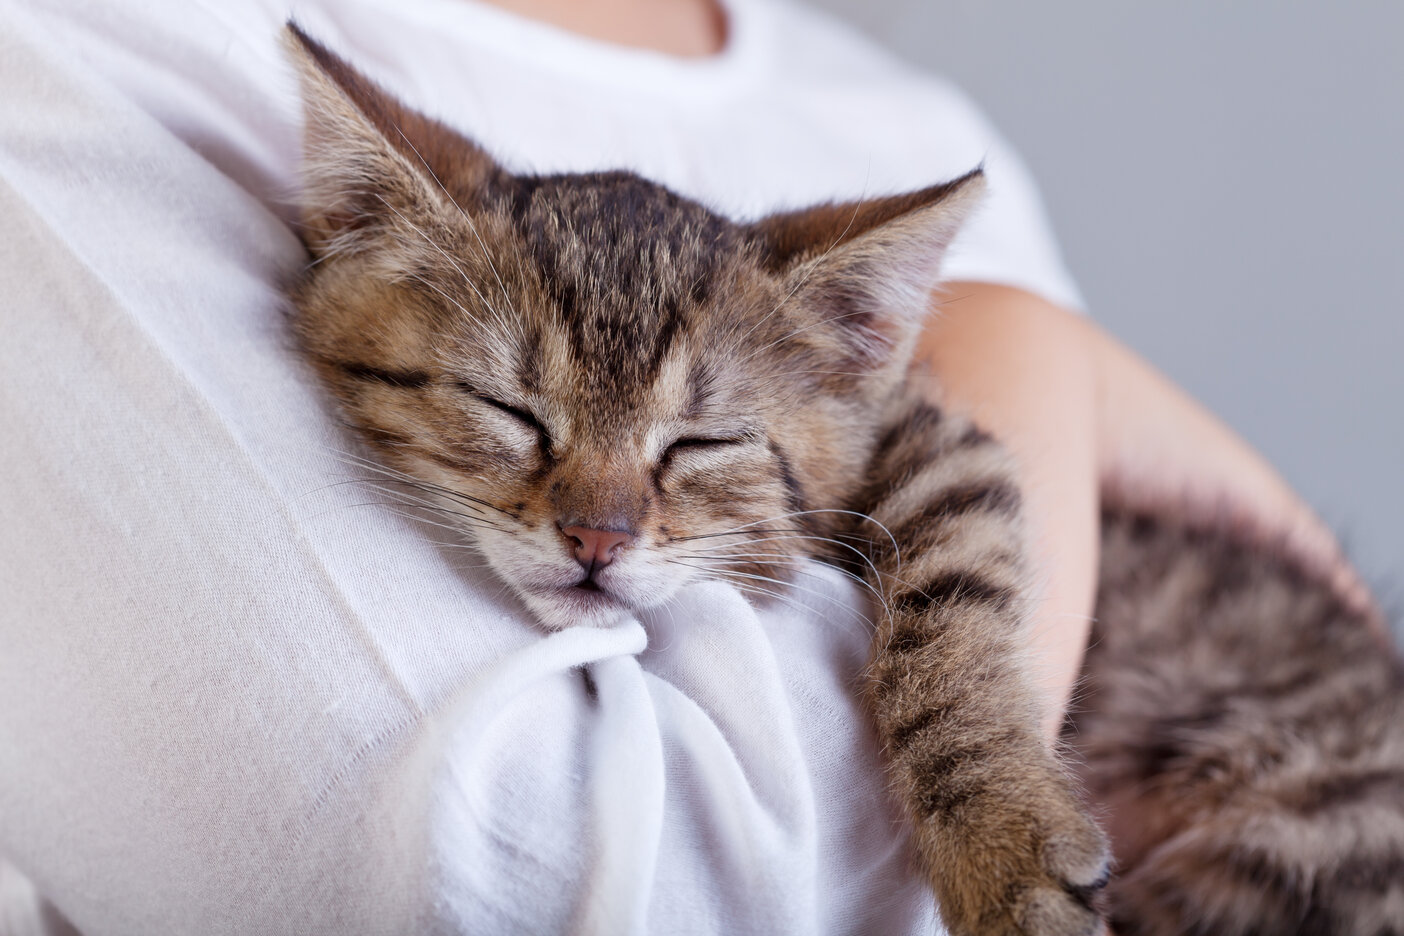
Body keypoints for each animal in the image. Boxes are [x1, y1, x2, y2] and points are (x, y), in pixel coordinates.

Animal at [285, 25, 1404, 931]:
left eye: (698, 445)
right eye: (512, 412)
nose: (597, 538)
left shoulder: (942, 444)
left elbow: (950, 600)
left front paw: (999, 833)